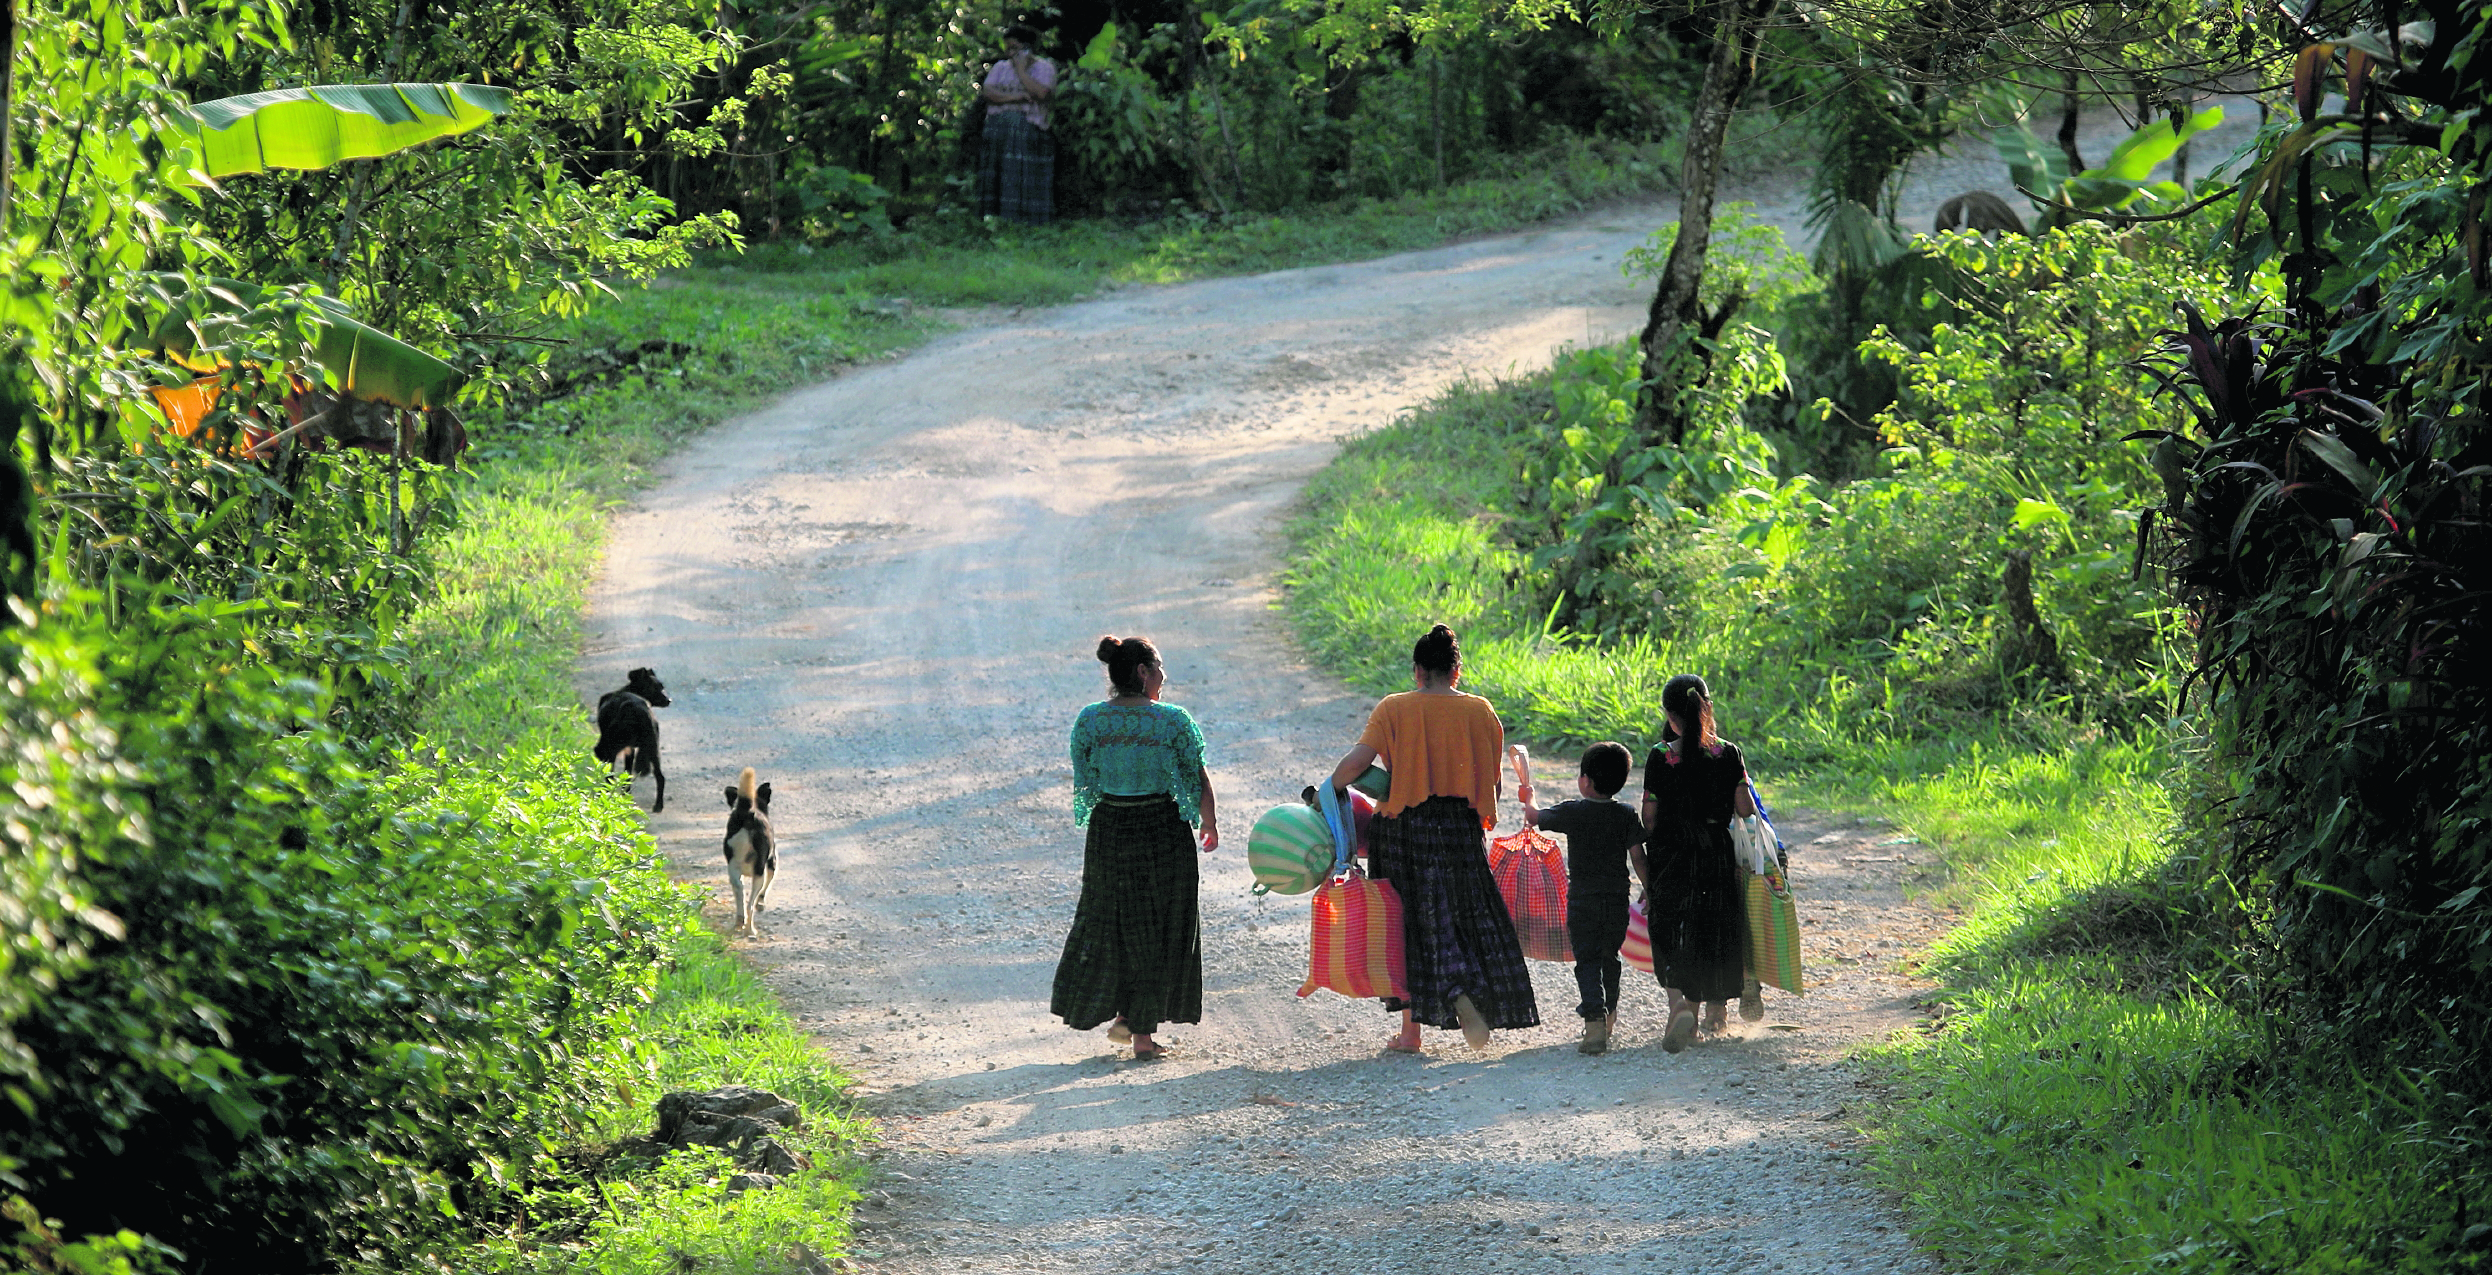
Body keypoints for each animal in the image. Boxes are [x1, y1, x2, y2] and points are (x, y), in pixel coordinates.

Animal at [595, 662, 672, 811]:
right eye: (657, 687)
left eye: (661, 687)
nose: (669, 700)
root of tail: (640, 710)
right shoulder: (630, 750)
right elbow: (628, 775)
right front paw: (625, 796)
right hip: (653, 749)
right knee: (660, 776)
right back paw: (658, 805)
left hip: (607, 747)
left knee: (609, 775)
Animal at [722, 766, 777, 936]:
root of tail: (746, 812)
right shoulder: (771, 863)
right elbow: (765, 890)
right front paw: (761, 903)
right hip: (759, 873)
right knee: (750, 905)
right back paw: (750, 929)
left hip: (733, 871)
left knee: (740, 896)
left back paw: (739, 922)